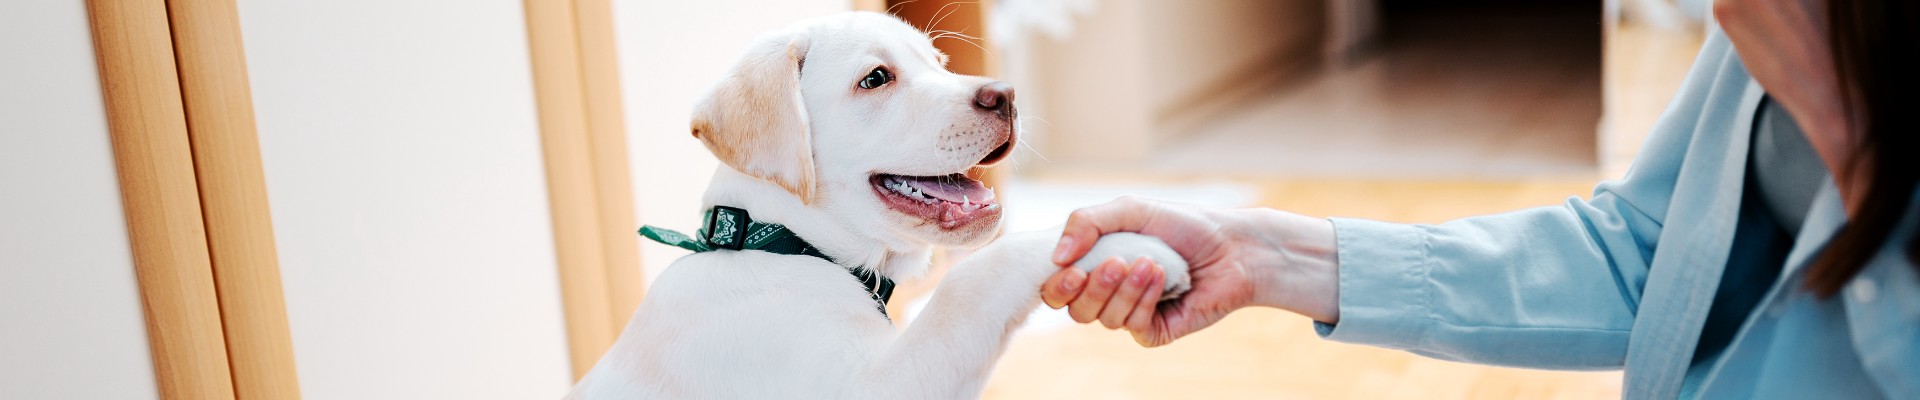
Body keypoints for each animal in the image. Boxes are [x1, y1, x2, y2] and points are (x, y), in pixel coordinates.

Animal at [572, 13, 1182, 400]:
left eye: (939, 62)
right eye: (876, 78)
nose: (1007, 95)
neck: (783, 243)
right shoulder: (875, 385)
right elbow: (970, 280)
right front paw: (1128, 242)